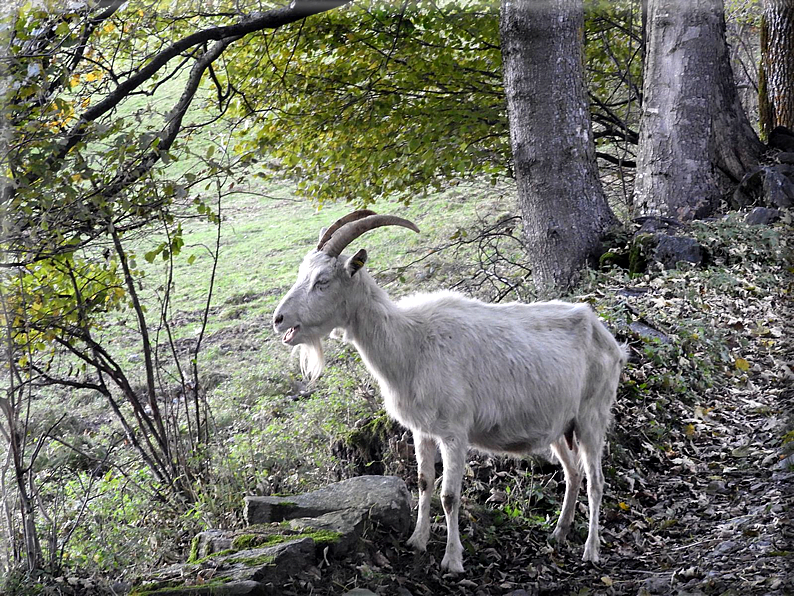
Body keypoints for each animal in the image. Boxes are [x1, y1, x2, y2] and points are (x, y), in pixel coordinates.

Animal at [272, 213, 624, 572]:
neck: (411, 344)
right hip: (560, 424)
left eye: (323, 281)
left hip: (592, 415)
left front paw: (452, 559)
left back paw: (591, 550)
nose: (278, 319)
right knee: (573, 472)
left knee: (596, 481)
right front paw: (417, 541)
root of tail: (606, 335)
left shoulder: (455, 432)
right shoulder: (421, 430)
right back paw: (559, 532)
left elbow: (449, 495)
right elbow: (424, 481)